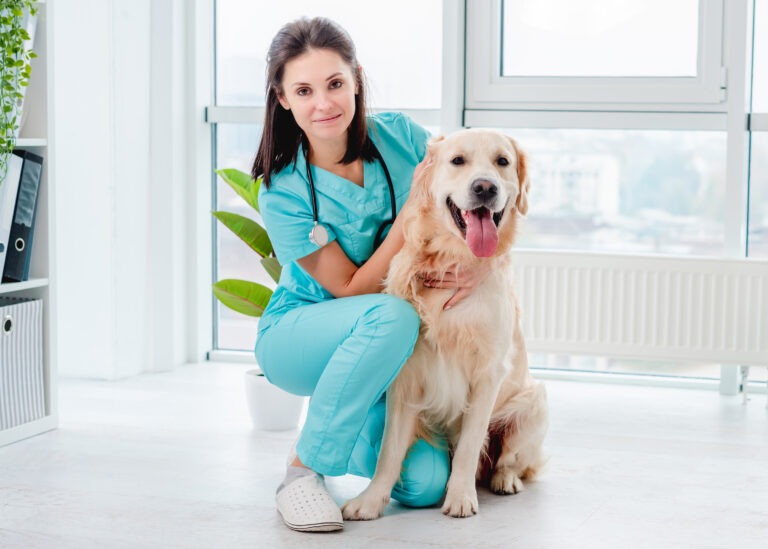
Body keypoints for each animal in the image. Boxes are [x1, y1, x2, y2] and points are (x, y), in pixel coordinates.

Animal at [340, 127, 544, 520]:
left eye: (502, 161)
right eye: (457, 161)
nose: (485, 188)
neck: (453, 259)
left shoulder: (488, 373)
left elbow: (469, 445)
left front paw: (460, 496)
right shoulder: (405, 376)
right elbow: (389, 451)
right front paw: (370, 500)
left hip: (533, 403)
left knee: (510, 460)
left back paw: (505, 479)